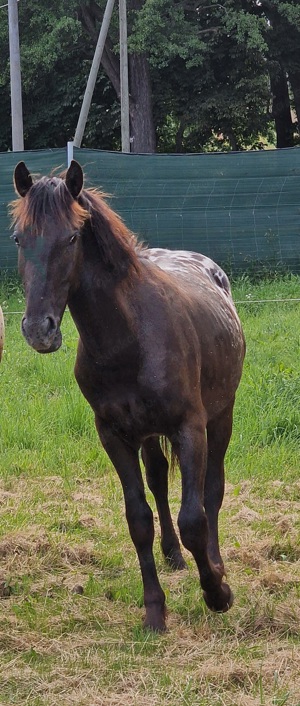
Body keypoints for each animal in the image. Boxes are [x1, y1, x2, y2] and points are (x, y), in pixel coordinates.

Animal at [11, 161, 246, 632]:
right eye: (18, 238)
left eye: (72, 237)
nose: (38, 330)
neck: (129, 338)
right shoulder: (114, 435)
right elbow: (138, 518)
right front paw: (155, 610)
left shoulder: (191, 428)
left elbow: (194, 516)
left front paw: (217, 591)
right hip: (149, 433)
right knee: (158, 479)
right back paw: (173, 556)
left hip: (221, 417)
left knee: (212, 490)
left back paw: (214, 563)